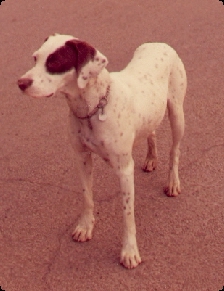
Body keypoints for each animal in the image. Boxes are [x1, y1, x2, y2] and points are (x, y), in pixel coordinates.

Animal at [17, 33, 186, 270]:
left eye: (54, 62)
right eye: (35, 58)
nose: (21, 83)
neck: (92, 108)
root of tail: (159, 43)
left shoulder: (125, 170)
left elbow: (128, 215)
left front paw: (129, 251)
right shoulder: (82, 158)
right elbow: (87, 197)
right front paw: (86, 227)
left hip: (177, 114)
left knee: (174, 152)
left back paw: (172, 182)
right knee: (151, 131)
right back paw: (151, 158)